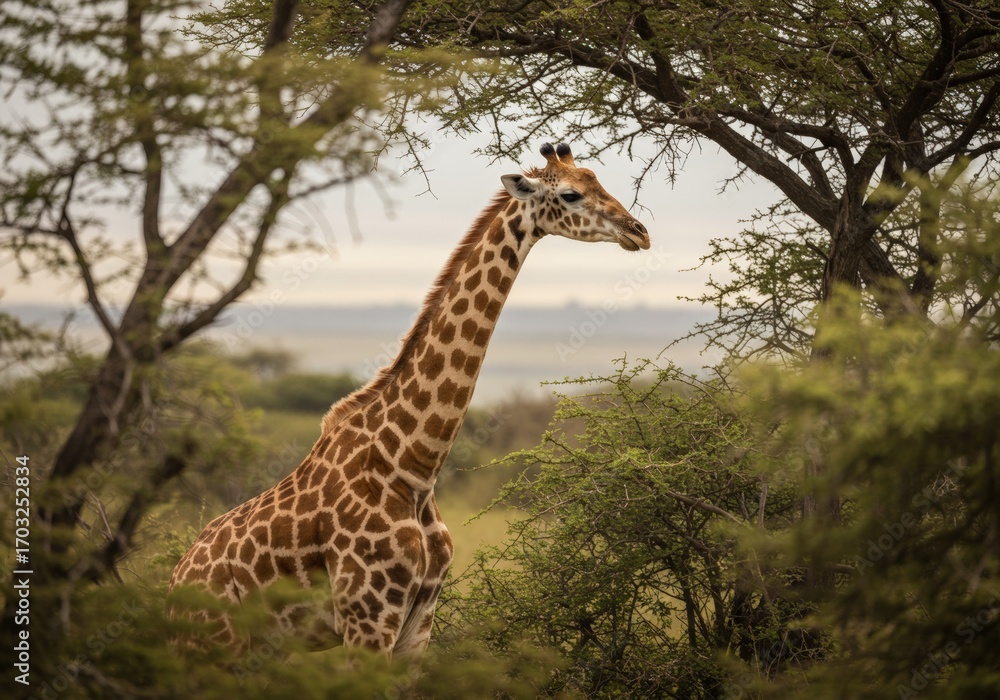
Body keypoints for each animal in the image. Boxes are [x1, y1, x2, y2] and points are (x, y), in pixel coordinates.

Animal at [169, 142, 650, 658]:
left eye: (600, 180)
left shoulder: (417, 625)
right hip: (213, 644)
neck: (413, 468)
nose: (639, 232)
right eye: (571, 194)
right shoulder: (367, 619)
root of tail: (173, 584)